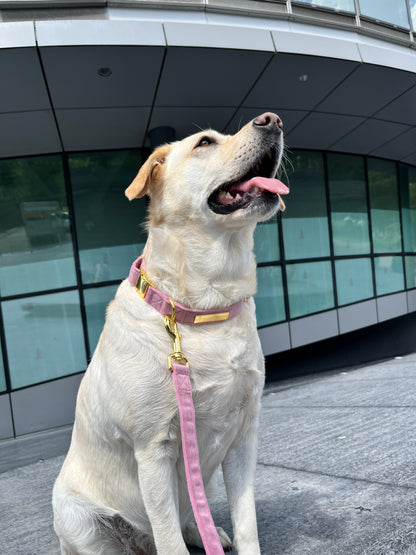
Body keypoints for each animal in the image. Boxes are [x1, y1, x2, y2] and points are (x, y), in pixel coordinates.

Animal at [52, 111, 288, 552]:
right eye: (205, 143)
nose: (273, 120)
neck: (202, 306)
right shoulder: (153, 450)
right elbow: (169, 538)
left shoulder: (243, 438)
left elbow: (246, 520)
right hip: (77, 518)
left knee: (191, 517)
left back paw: (208, 532)